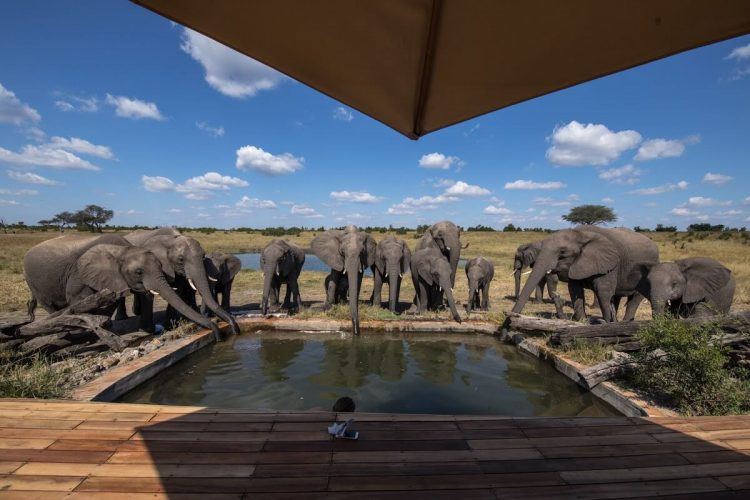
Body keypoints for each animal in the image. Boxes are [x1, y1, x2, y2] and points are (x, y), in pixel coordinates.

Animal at [20, 234, 220, 340]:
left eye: (204, 256)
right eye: (180, 260)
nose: (219, 333)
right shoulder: (79, 274)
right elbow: (80, 301)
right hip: (33, 279)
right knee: (49, 305)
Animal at [516, 226, 660, 322]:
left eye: (562, 253)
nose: (513, 316)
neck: (582, 234)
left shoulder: (609, 264)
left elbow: (603, 291)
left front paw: (606, 323)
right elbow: (574, 289)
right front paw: (581, 320)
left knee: (633, 299)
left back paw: (622, 322)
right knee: (617, 297)